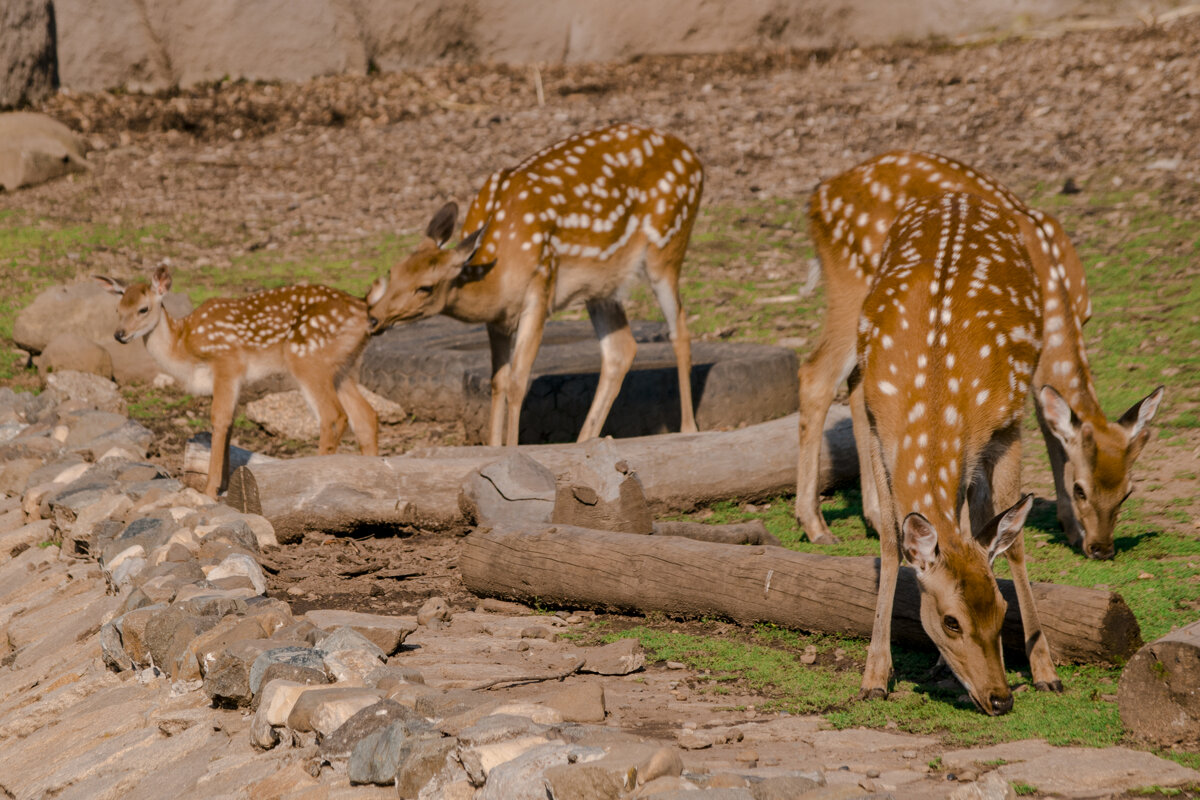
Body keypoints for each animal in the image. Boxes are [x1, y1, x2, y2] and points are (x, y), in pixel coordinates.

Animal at [96, 266, 376, 496]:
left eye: (143, 308)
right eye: (118, 309)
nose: (120, 335)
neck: (184, 347)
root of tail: (364, 311)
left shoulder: (227, 361)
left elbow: (219, 420)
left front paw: (209, 491)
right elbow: (230, 424)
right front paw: (225, 487)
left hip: (307, 358)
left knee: (333, 415)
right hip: (341, 367)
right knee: (366, 415)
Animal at [364, 125, 700, 450]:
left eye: (425, 287)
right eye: (393, 271)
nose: (373, 317)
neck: (497, 271)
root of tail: (694, 159)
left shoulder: (540, 288)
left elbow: (517, 381)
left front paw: (512, 448)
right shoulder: (498, 319)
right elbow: (497, 381)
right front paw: (493, 448)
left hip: (667, 247)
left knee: (680, 330)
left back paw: (688, 430)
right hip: (602, 286)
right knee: (622, 349)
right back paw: (585, 441)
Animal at [796, 151, 1161, 563]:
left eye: (1128, 491)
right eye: (1081, 488)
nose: (1101, 548)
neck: (1059, 294)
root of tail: (818, 198)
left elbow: (1050, 421)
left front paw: (1068, 527)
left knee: (858, 389)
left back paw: (874, 517)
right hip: (853, 284)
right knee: (816, 374)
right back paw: (816, 526)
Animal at [864, 191, 1060, 714]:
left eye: (1002, 608)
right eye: (951, 621)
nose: (1000, 698)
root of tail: (958, 195)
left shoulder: (1007, 426)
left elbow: (1015, 545)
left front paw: (1046, 672)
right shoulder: (872, 423)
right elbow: (890, 543)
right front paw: (874, 677)